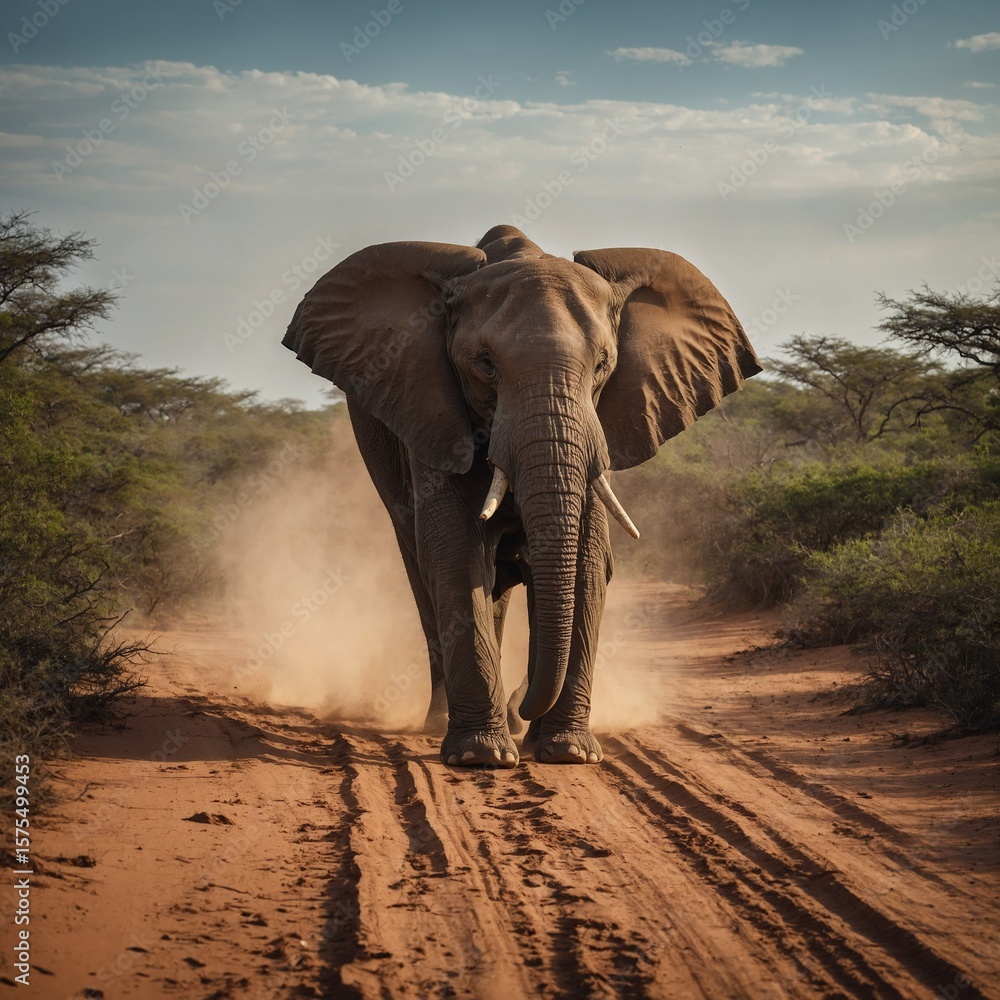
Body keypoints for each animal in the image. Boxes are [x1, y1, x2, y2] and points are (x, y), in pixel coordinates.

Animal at [282, 225, 760, 768]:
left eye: (603, 365)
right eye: (485, 364)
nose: (522, 706)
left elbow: (588, 560)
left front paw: (569, 753)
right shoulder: (432, 411)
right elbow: (455, 553)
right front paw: (482, 757)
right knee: (425, 570)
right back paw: (446, 724)